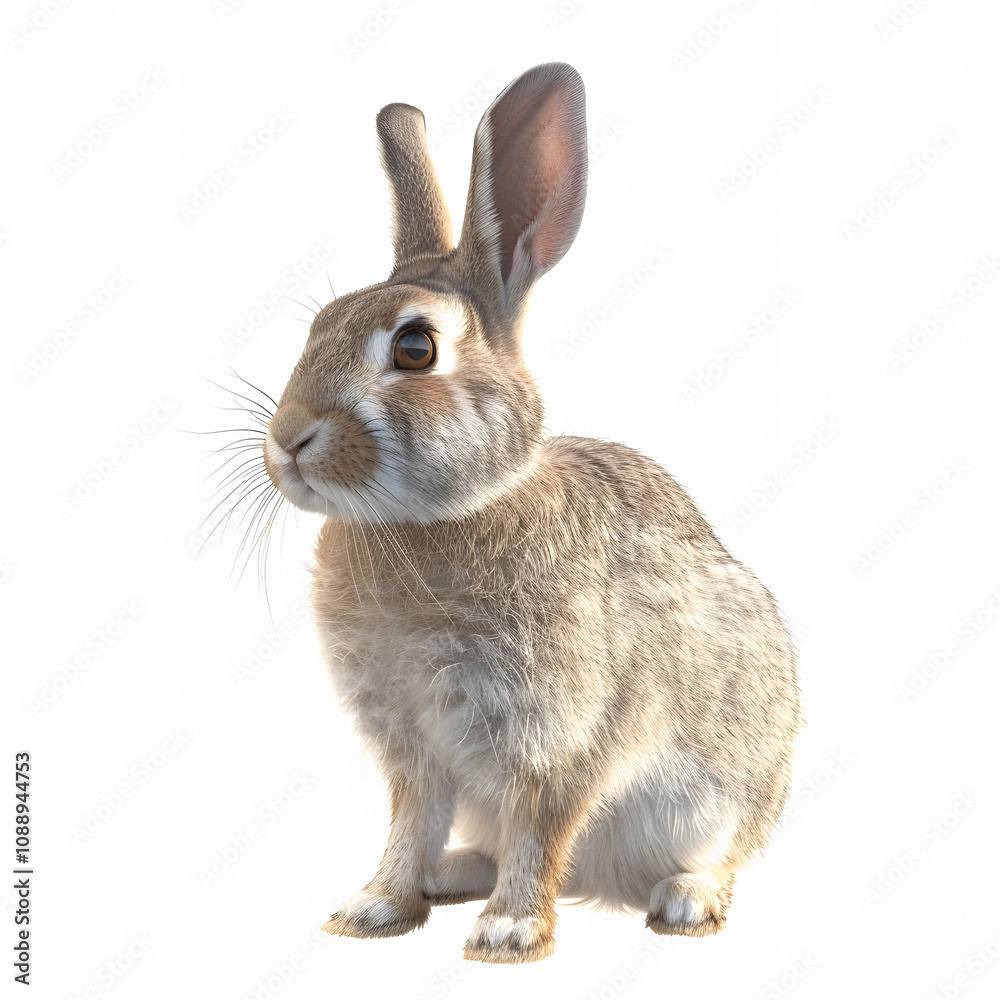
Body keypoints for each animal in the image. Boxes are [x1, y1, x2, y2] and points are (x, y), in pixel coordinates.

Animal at [260, 62, 801, 964]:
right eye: (316, 328)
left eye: (415, 347)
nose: (287, 440)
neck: (436, 521)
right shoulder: (415, 748)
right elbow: (409, 822)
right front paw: (374, 908)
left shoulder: (564, 731)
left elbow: (542, 824)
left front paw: (509, 933)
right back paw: (451, 873)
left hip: (730, 784)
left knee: (715, 852)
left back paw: (685, 899)